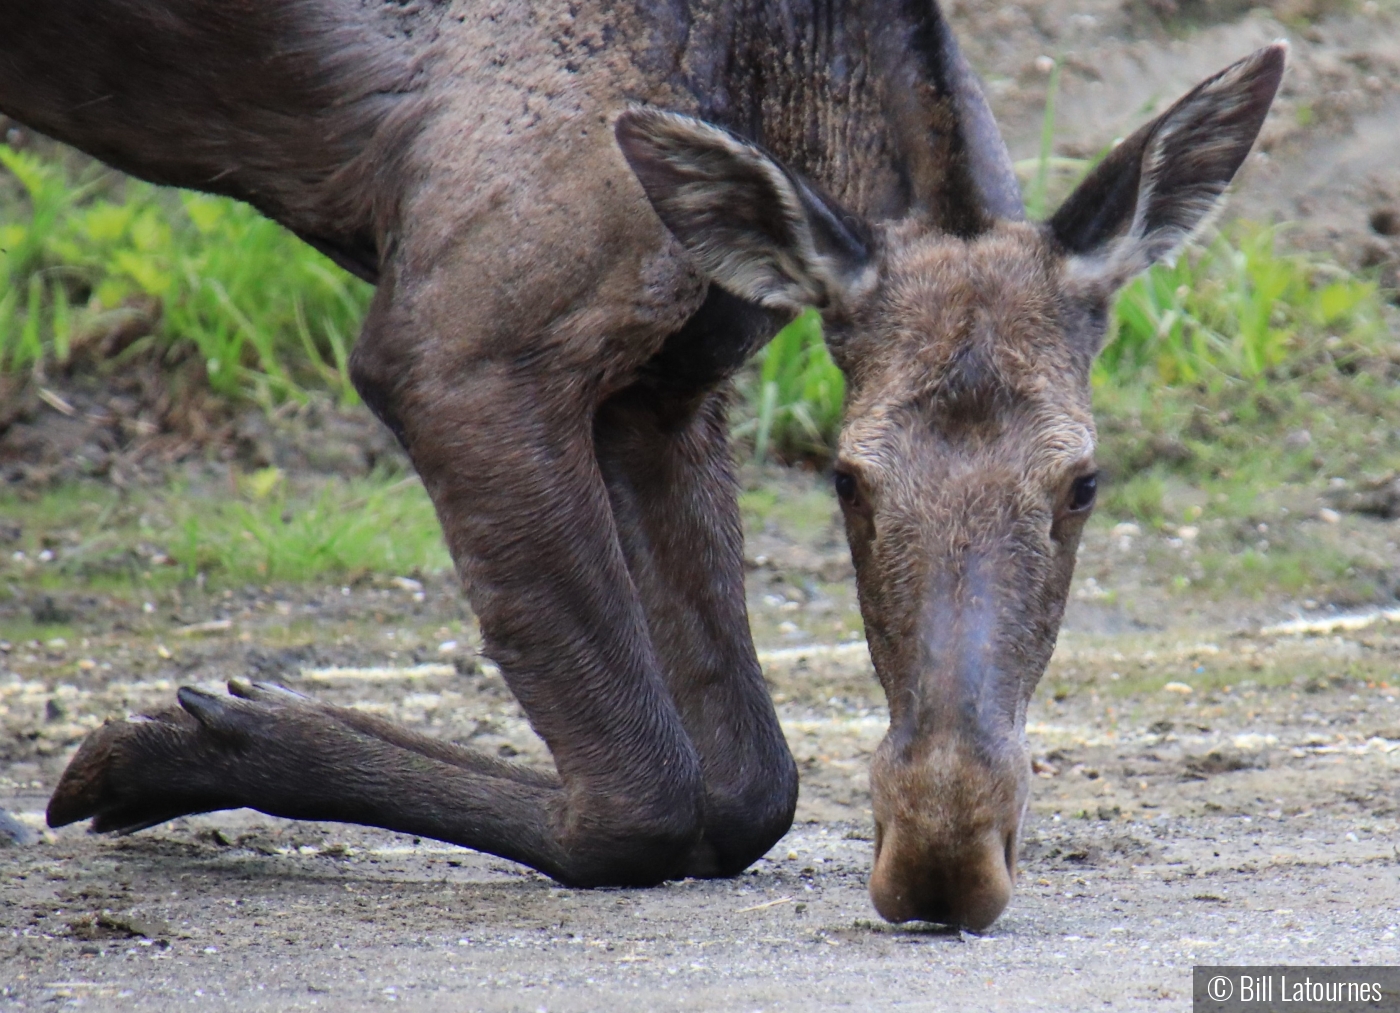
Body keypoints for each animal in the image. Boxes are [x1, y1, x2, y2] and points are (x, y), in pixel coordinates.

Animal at [0, 0, 1282, 923]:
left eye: (1081, 482)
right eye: (843, 477)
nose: (941, 855)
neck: (776, 77)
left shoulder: (665, 387)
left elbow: (751, 784)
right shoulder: (455, 344)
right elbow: (644, 797)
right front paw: (171, 745)